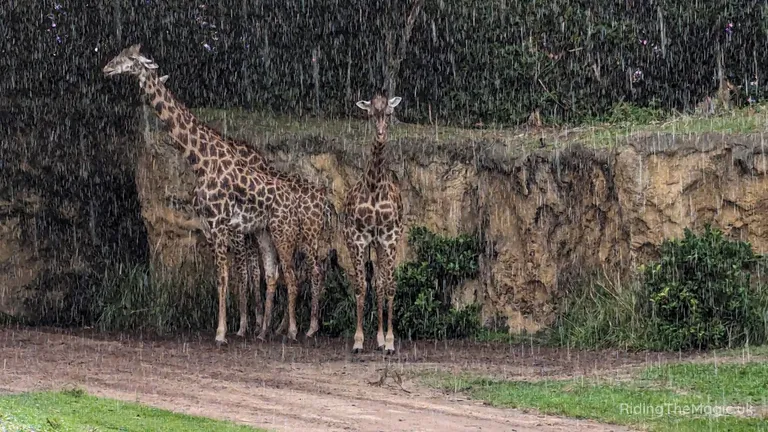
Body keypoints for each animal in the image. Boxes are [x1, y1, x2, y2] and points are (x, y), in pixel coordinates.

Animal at [102, 44, 334, 344]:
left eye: (129, 58)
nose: (106, 68)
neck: (201, 160)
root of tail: (326, 200)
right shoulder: (212, 226)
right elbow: (230, 278)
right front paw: (246, 327)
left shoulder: (225, 226)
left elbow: (233, 277)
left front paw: (226, 332)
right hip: (270, 233)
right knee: (281, 273)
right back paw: (274, 330)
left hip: (293, 232)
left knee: (301, 273)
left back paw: (300, 329)